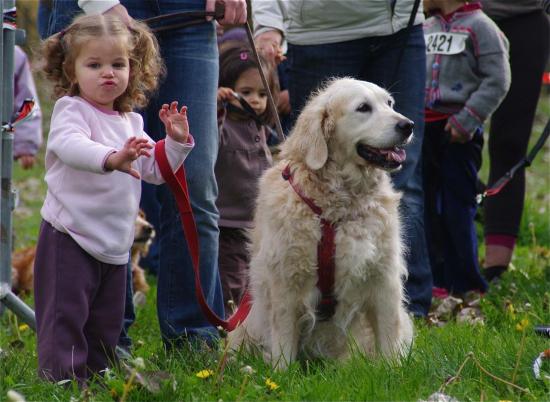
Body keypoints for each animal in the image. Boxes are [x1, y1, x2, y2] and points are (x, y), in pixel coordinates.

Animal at [229, 77, 414, 368]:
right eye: (363, 108)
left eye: (389, 103)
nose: (408, 125)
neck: (337, 210)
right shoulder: (286, 281)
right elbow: (284, 342)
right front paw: (282, 374)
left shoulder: (383, 277)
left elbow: (389, 336)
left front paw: (393, 370)